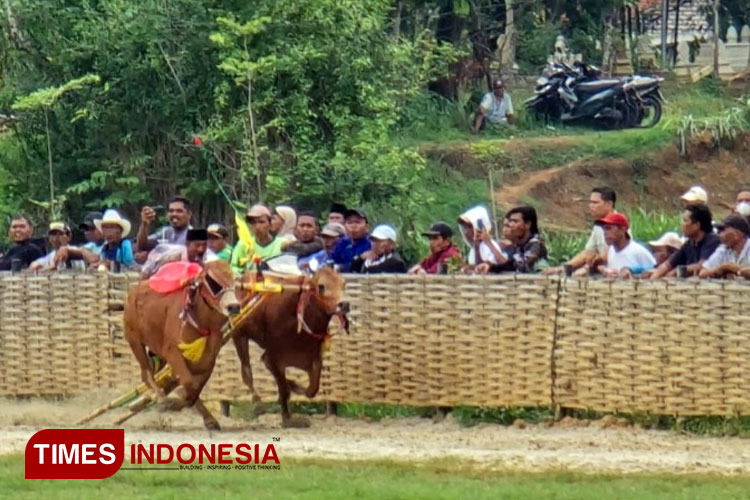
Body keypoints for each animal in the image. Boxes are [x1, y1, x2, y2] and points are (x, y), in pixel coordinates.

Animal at [125, 260, 239, 428]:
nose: (234, 306)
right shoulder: (172, 351)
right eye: (212, 281)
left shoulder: (208, 360)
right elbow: (189, 383)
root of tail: (134, 291)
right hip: (135, 341)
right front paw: (172, 401)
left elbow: (195, 389)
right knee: (146, 373)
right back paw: (159, 397)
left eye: (234, 279)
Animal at [235, 268, 350, 428]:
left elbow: (312, 390)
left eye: (343, 283)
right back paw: (257, 402)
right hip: (239, 336)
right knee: (247, 372)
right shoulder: (274, 357)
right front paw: (288, 419)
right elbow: (283, 388)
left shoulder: (314, 357)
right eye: (321, 286)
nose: (344, 304)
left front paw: (294, 386)